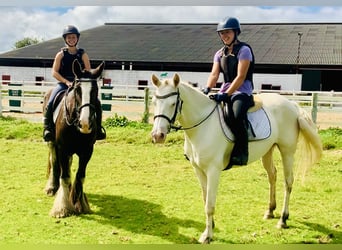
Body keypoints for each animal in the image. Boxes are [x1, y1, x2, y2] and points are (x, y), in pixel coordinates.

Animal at [151, 73, 322, 244]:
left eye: (173, 103)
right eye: (154, 102)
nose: (157, 136)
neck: (203, 126)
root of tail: (292, 104)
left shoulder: (213, 170)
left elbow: (210, 205)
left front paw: (207, 236)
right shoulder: (198, 169)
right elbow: (205, 198)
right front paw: (211, 226)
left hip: (287, 151)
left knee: (288, 182)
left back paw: (283, 219)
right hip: (268, 150)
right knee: (272, 175)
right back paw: (270, 211)